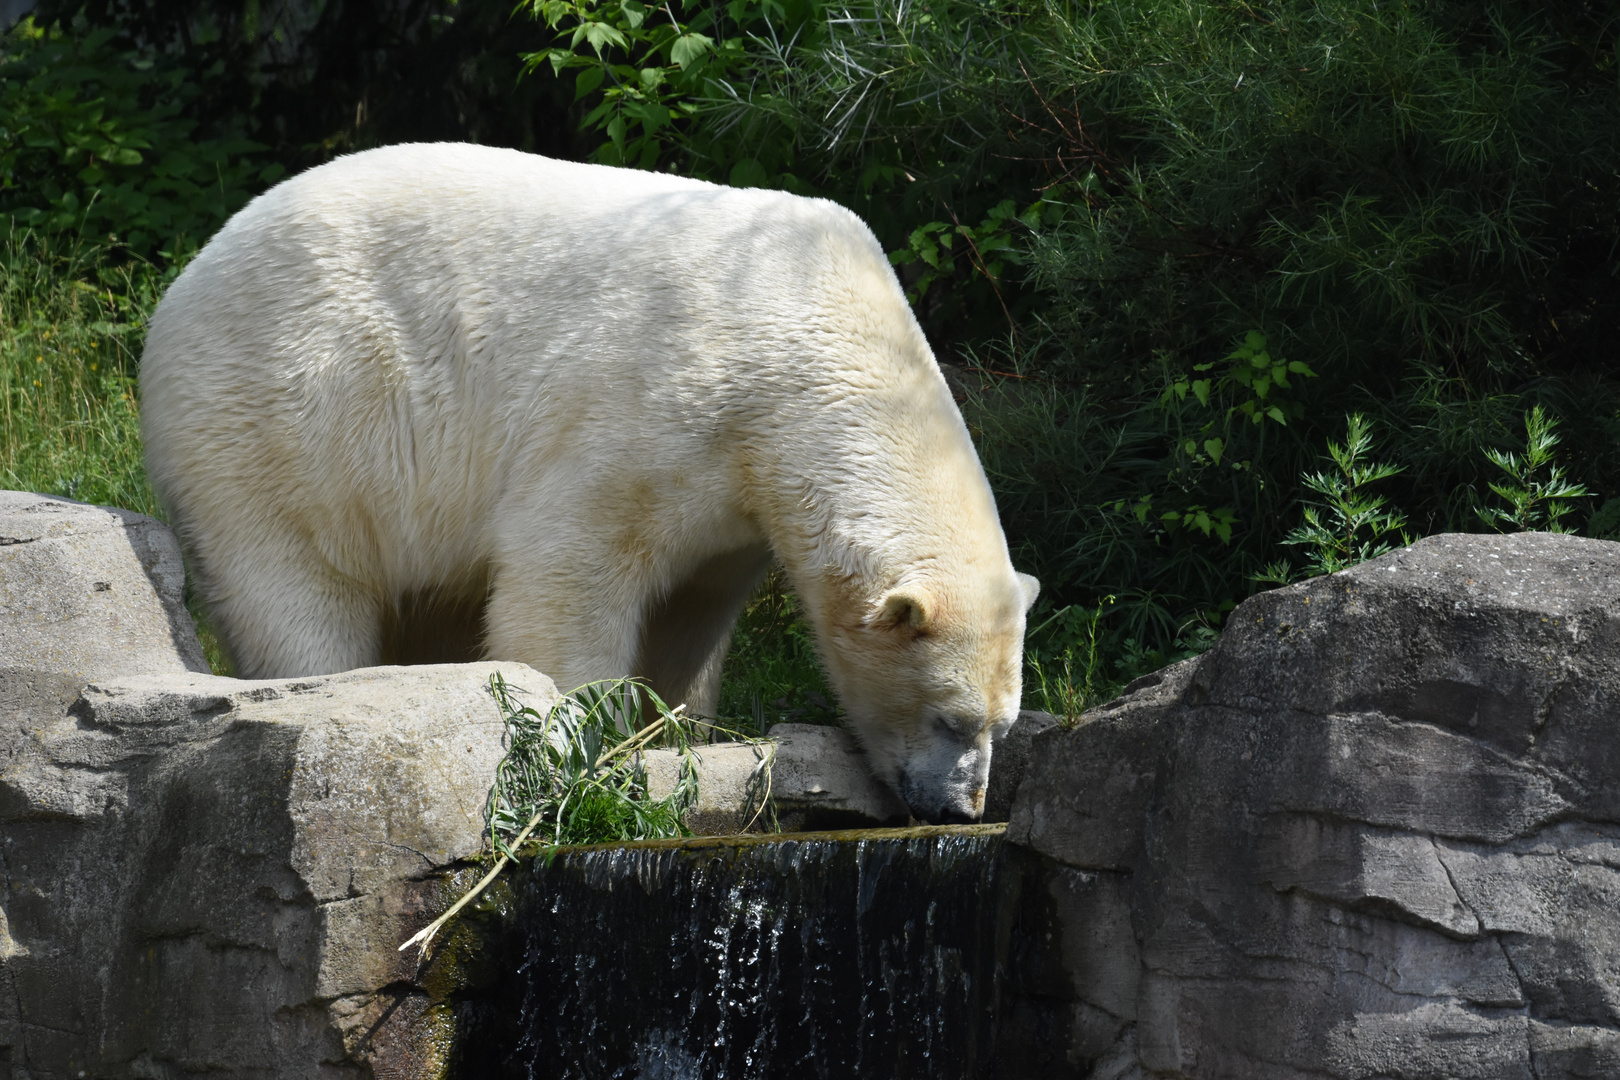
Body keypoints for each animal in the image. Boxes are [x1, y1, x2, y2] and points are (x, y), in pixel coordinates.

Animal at [145, 141, 1043, 819]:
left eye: (1003, 725)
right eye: (950, 717)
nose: (961, 807)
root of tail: (188, 280)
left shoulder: (736, 506)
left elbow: (689, 613)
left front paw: (675, 730)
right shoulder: (656, 399)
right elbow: (569, 567)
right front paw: (589, 738)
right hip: (282, 419)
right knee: (295, 587)